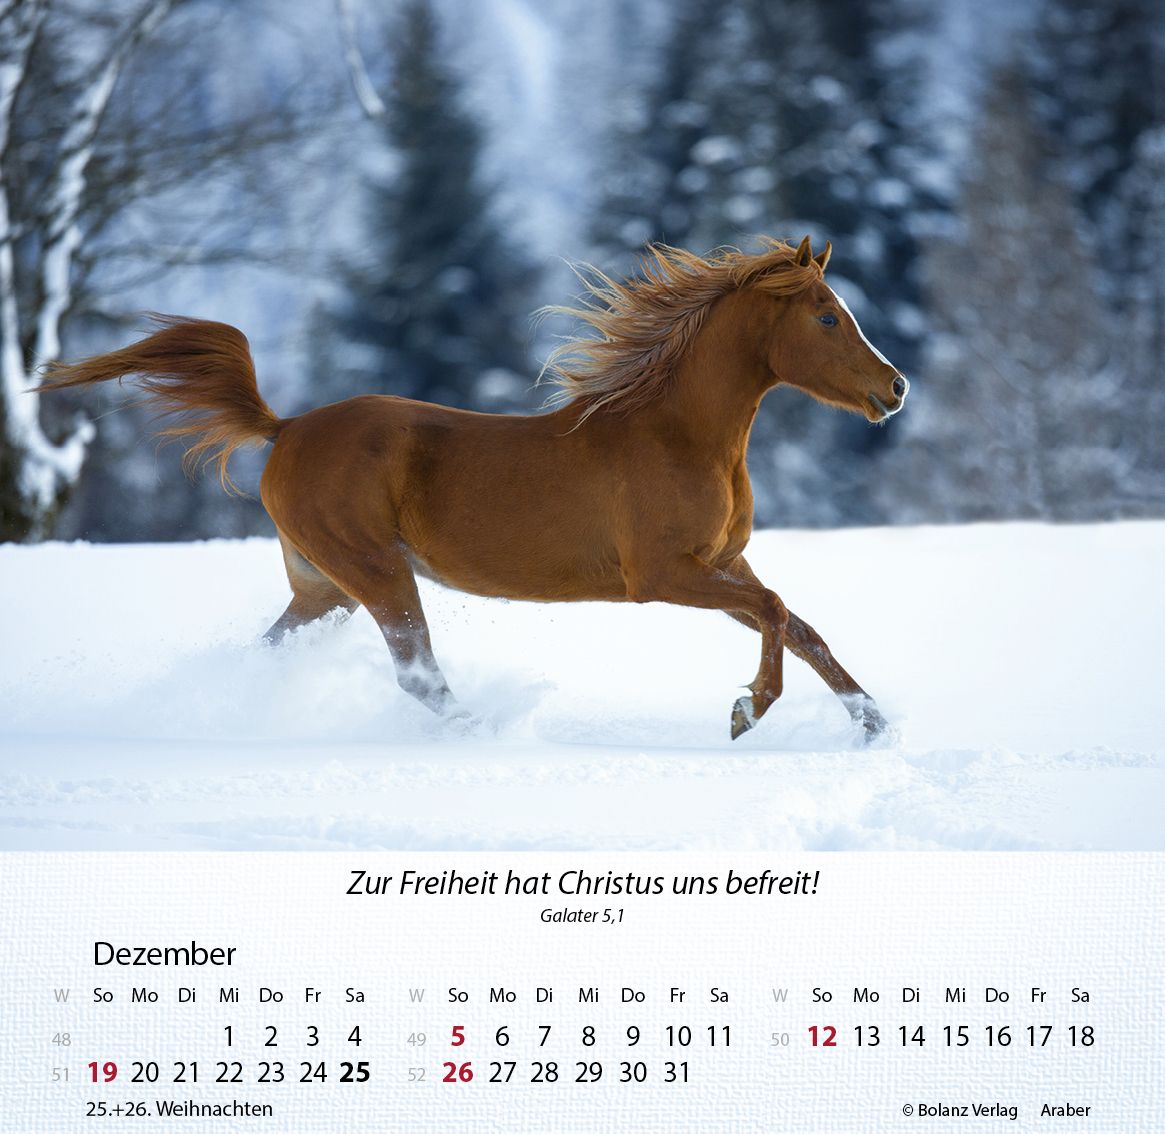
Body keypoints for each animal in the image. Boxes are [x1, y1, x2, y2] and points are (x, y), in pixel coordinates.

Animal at [43, 235, 907, 741]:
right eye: (827, 317)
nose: (895, 388)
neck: (678, 435)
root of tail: (283, 428)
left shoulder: (723, 564)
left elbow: (798, 624)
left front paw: (873, 723)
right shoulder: (662, 575)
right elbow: (776, 613)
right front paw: (745, 711)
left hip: (323, 588)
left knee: (274, 650)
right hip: (376, 572)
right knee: (415, 673)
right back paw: (489, 727)